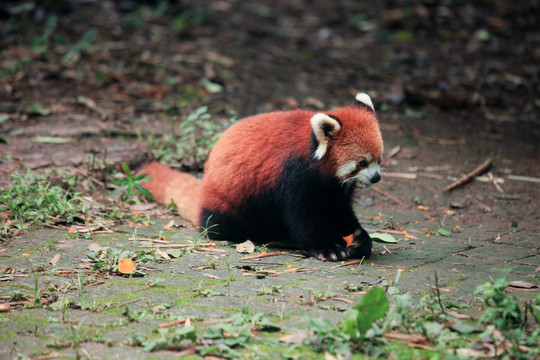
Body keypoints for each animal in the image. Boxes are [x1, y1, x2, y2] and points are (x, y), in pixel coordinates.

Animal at [139, 93, 384, 262]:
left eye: (379, 159)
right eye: (362, 162)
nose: (376, 178)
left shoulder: (332, 189)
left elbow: (338, 211)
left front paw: (359, 238)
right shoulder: (294, 177)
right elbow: (302, 216)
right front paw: (326, 247)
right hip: (230, 204)